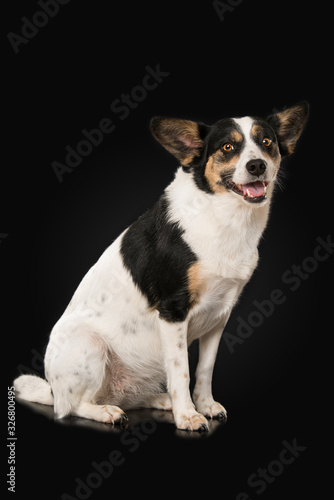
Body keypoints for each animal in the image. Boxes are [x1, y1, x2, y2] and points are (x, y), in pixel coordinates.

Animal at [14, 101, 310, 430]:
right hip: (90, 345)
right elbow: (182, 371)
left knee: (125, 397)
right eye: (228, 147)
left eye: (267, 141)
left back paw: (160, 401)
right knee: (71, 407)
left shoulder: (219, 316)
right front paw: (188, 415)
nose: (257, 165)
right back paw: (107, 412)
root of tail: (52, 388)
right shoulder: (172, 310)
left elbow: (204, 369)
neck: (222, 215)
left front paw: (204, 405)